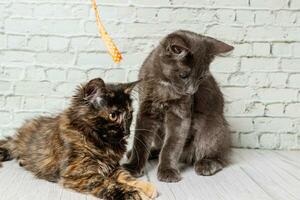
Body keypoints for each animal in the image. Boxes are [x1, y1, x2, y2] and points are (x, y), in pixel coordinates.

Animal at [0, 77, 157, 200]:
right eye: (113, 115)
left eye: (129, 115)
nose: (126, 132)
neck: (101, 142)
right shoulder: (79, 174)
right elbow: (109, 183)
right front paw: (134, 193)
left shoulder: (112, 166)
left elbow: (125, 176)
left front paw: (146, 186)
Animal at [122, 30, 234, 183]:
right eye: (183, 75)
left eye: (201, 77)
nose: (191, 91)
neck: (165, 85)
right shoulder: (146, 110)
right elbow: (141, 142)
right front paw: (133, 167)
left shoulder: (180, 114)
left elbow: (171, 146)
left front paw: (167, 171)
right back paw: (145, 152)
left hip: (213, 126)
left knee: (221, 156)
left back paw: (206, 163)